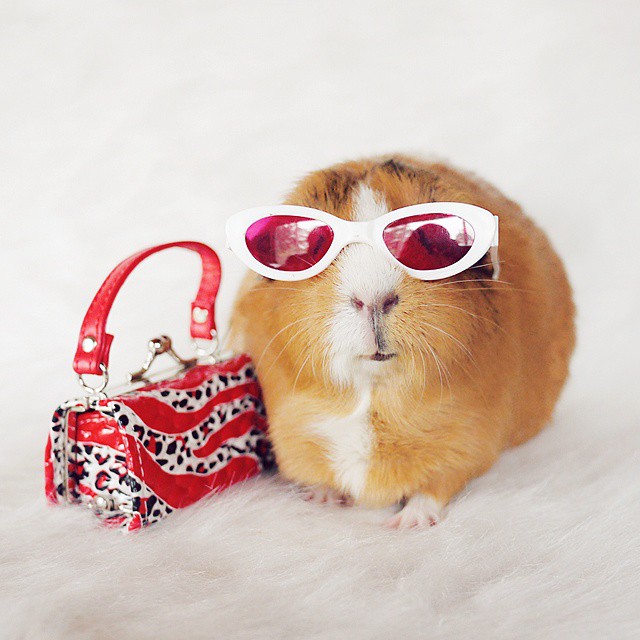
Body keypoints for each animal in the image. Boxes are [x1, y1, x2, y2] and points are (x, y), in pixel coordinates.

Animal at [230, 155, 575, 529]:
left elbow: (434, 488)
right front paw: (323, 499)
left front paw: (406, 523)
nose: (373, 298)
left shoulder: (465, 445)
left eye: (426, 242)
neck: (373, 394)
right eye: (313, 248)